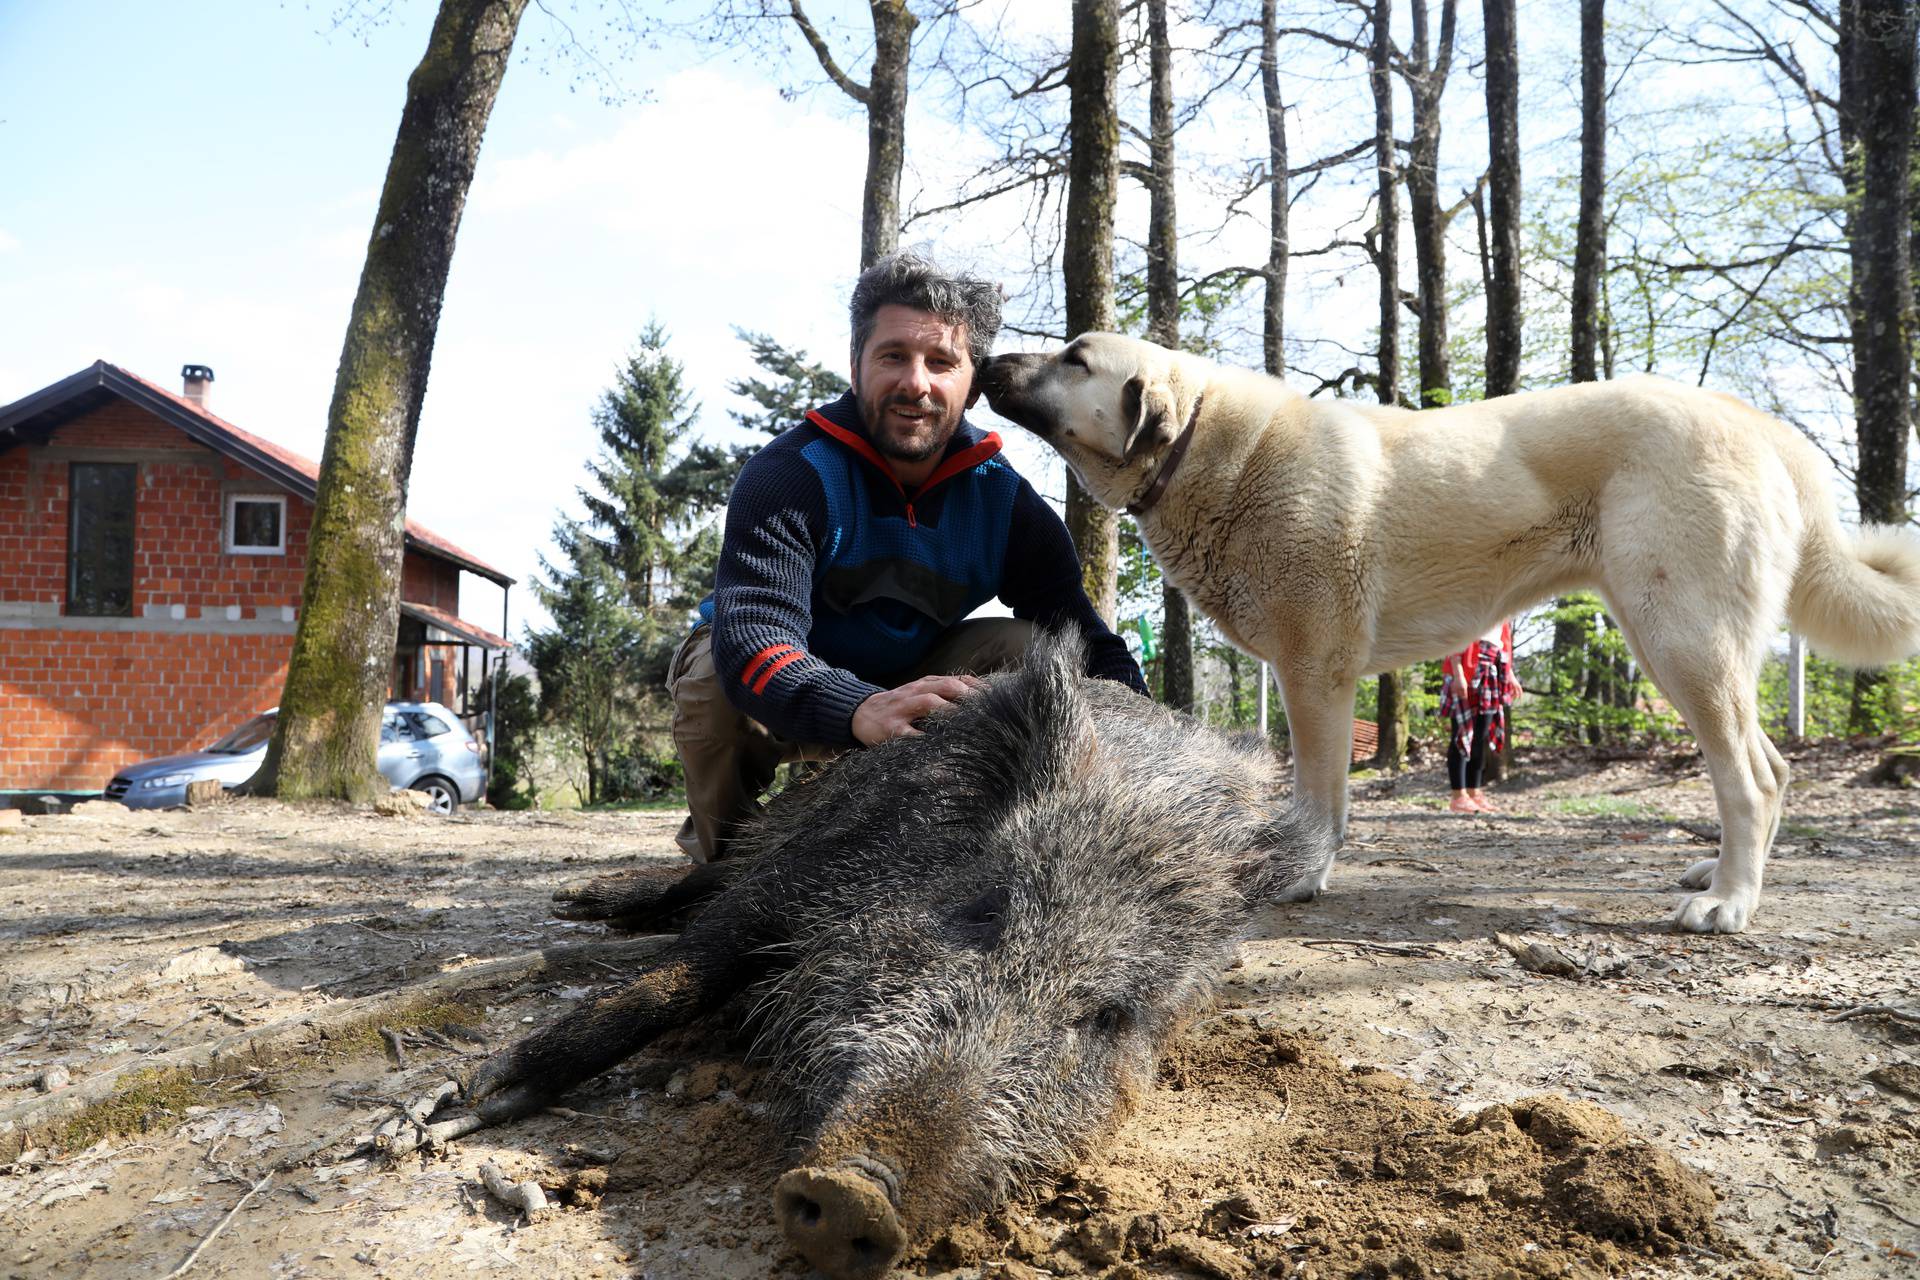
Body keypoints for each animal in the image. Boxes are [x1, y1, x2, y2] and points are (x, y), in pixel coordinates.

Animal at [975, 330, 1920, 932]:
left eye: (1075, 358)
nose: (984, 359)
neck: (1209, 449)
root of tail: (1756, 420)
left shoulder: (1315, 673)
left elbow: (1318, 799)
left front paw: (1302, 876)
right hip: (1679, 645)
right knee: (1771, 769)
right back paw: (1719, 872)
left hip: (1682, 641)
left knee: (1750, 780)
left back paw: (1727, 903)